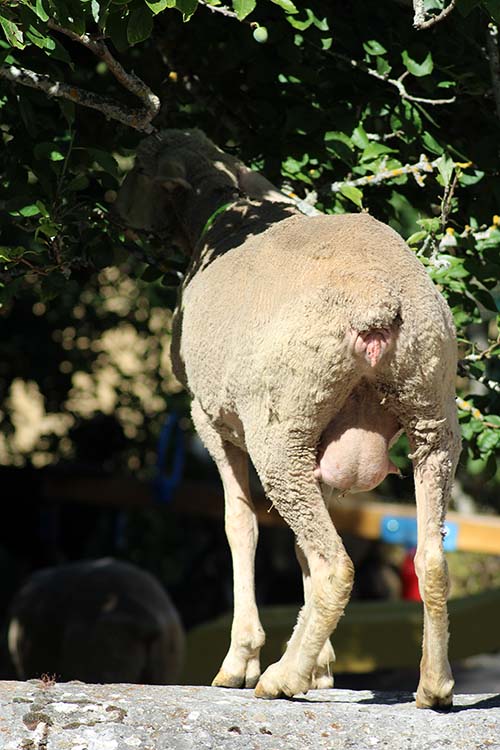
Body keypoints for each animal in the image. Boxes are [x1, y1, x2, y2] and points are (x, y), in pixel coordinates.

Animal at [116, 129, 461, 708]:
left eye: (139, 169)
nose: (119, 211)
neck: (227, 209)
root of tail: (378, 305)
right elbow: (298, 546)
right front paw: (323, 667)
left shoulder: (210, 418)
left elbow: (240, 526)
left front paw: (241, 661)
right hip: (427, 411)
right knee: (427, 557)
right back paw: (432, 686)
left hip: (282, 425)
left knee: (335, 565)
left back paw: (281, 677)